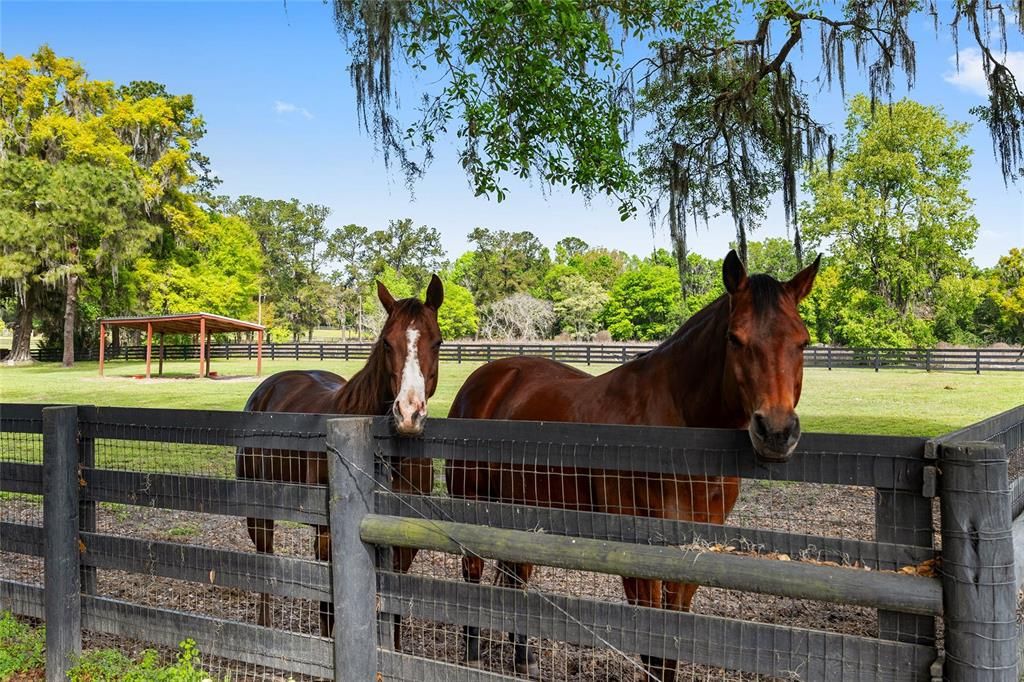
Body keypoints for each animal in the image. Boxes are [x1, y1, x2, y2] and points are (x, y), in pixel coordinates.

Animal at [237, 274, 446, 634]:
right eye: (387, 343)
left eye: (438, 342)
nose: (408, 414)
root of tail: (268, 387)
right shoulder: (331, 533)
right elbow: (331, 605)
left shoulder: (405, 540)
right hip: (260, 511)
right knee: (267, 565)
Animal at [444, 251, 819, 675]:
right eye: (734, 338)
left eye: (802, 341)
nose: (776, 431)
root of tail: (487, 377)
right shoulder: (639, 553)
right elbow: (652, 648)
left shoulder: (691, 551)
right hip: (474, 506)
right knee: (474, 573)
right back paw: (472, 653)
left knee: (514, 578)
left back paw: (523, 660)